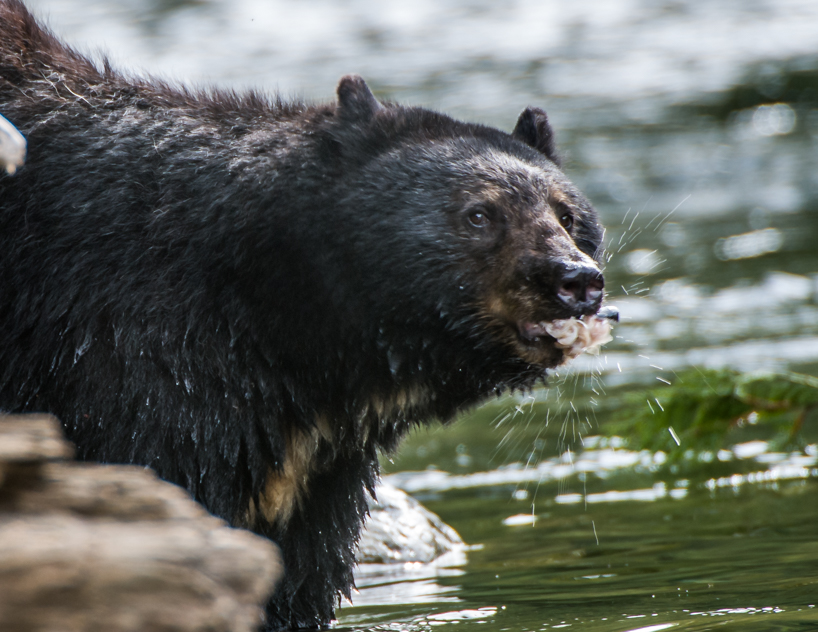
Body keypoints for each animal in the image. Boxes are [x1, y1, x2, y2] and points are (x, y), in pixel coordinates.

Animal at [0, 1, 616, 629]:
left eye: (568, 215)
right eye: (479, 213)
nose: (576, 281)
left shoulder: (316, 472)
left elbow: (298, 575)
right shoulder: (128, 343)